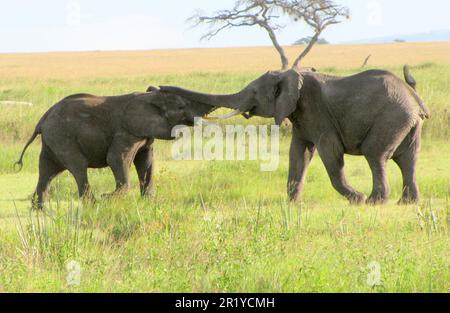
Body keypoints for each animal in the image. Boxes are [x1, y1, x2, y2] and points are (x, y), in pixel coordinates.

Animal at [15, 87, 216, 210]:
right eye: (182, 106)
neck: (147, 97)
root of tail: (42, 120)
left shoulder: (145, 133)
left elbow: (146, 162)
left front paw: (149, 203)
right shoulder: (126, 130)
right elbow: (116, 158)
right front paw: (109, 198)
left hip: (52, 141)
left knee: (47, 170)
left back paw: (39, 210)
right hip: (62, 137)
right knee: (77, 166)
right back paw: (93, 204)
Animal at [160, 64, 430, 204]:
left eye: (254, 93)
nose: (157, 87)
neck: (287, 73)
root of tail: (414, 97)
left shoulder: (317, 112)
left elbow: (330, 153)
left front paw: (357, 199)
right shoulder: (301, 115)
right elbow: (299, 153)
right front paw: (292, 204)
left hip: (392, 116)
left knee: (375, 155)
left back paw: (375, 201)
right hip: (407, 122)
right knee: (408, 158)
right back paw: (407, 203)